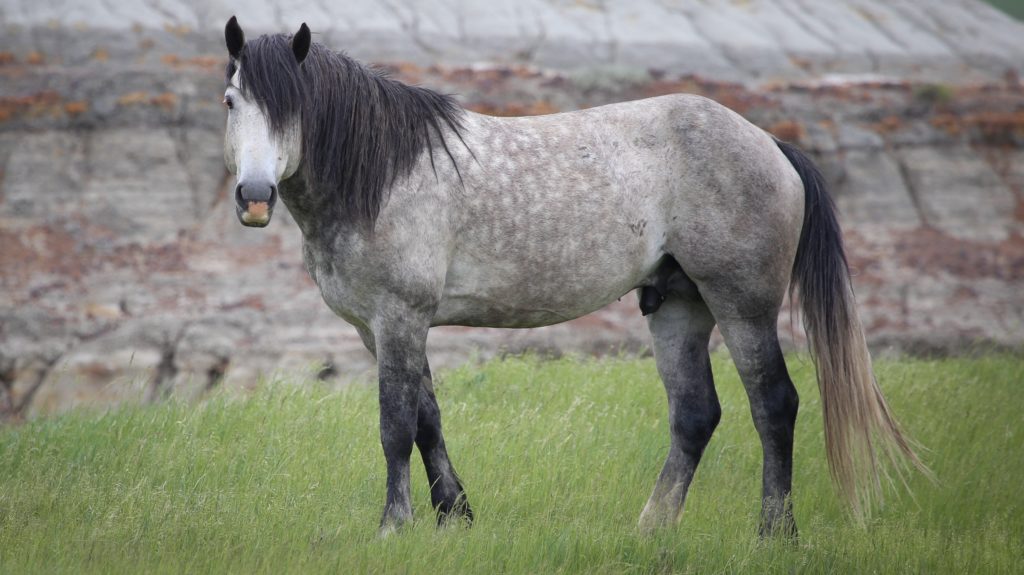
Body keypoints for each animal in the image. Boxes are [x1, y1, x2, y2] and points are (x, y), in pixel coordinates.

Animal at [220, 19, 925, 536]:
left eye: (292, 109)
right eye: (231, 102)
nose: (254, 197)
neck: (383, 173)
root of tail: (770, 143)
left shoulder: (400, 317)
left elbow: (395, 425)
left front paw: (396, 527)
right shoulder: (381, 328)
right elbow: (427, 419)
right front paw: (456, 518)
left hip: (742, 304)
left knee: (774, 405)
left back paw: (774, 534)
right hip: (679, 305)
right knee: (695, 415)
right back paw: (651, 531)